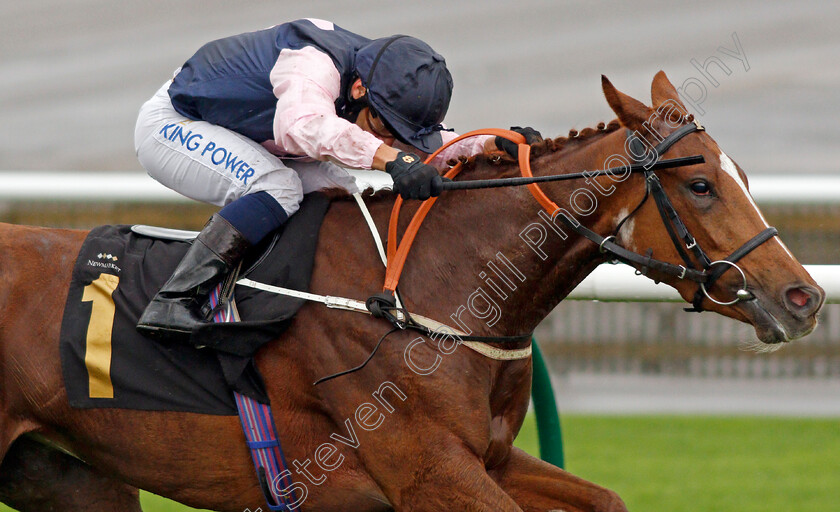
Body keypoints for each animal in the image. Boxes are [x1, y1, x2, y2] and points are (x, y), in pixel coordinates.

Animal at [0, 73, 824, 512]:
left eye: (742, 177)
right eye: (700, 185)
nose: (804, 298)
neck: (425, 296)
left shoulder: (490, 460)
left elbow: (606, 498)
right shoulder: (431, 474)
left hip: (73, 479)